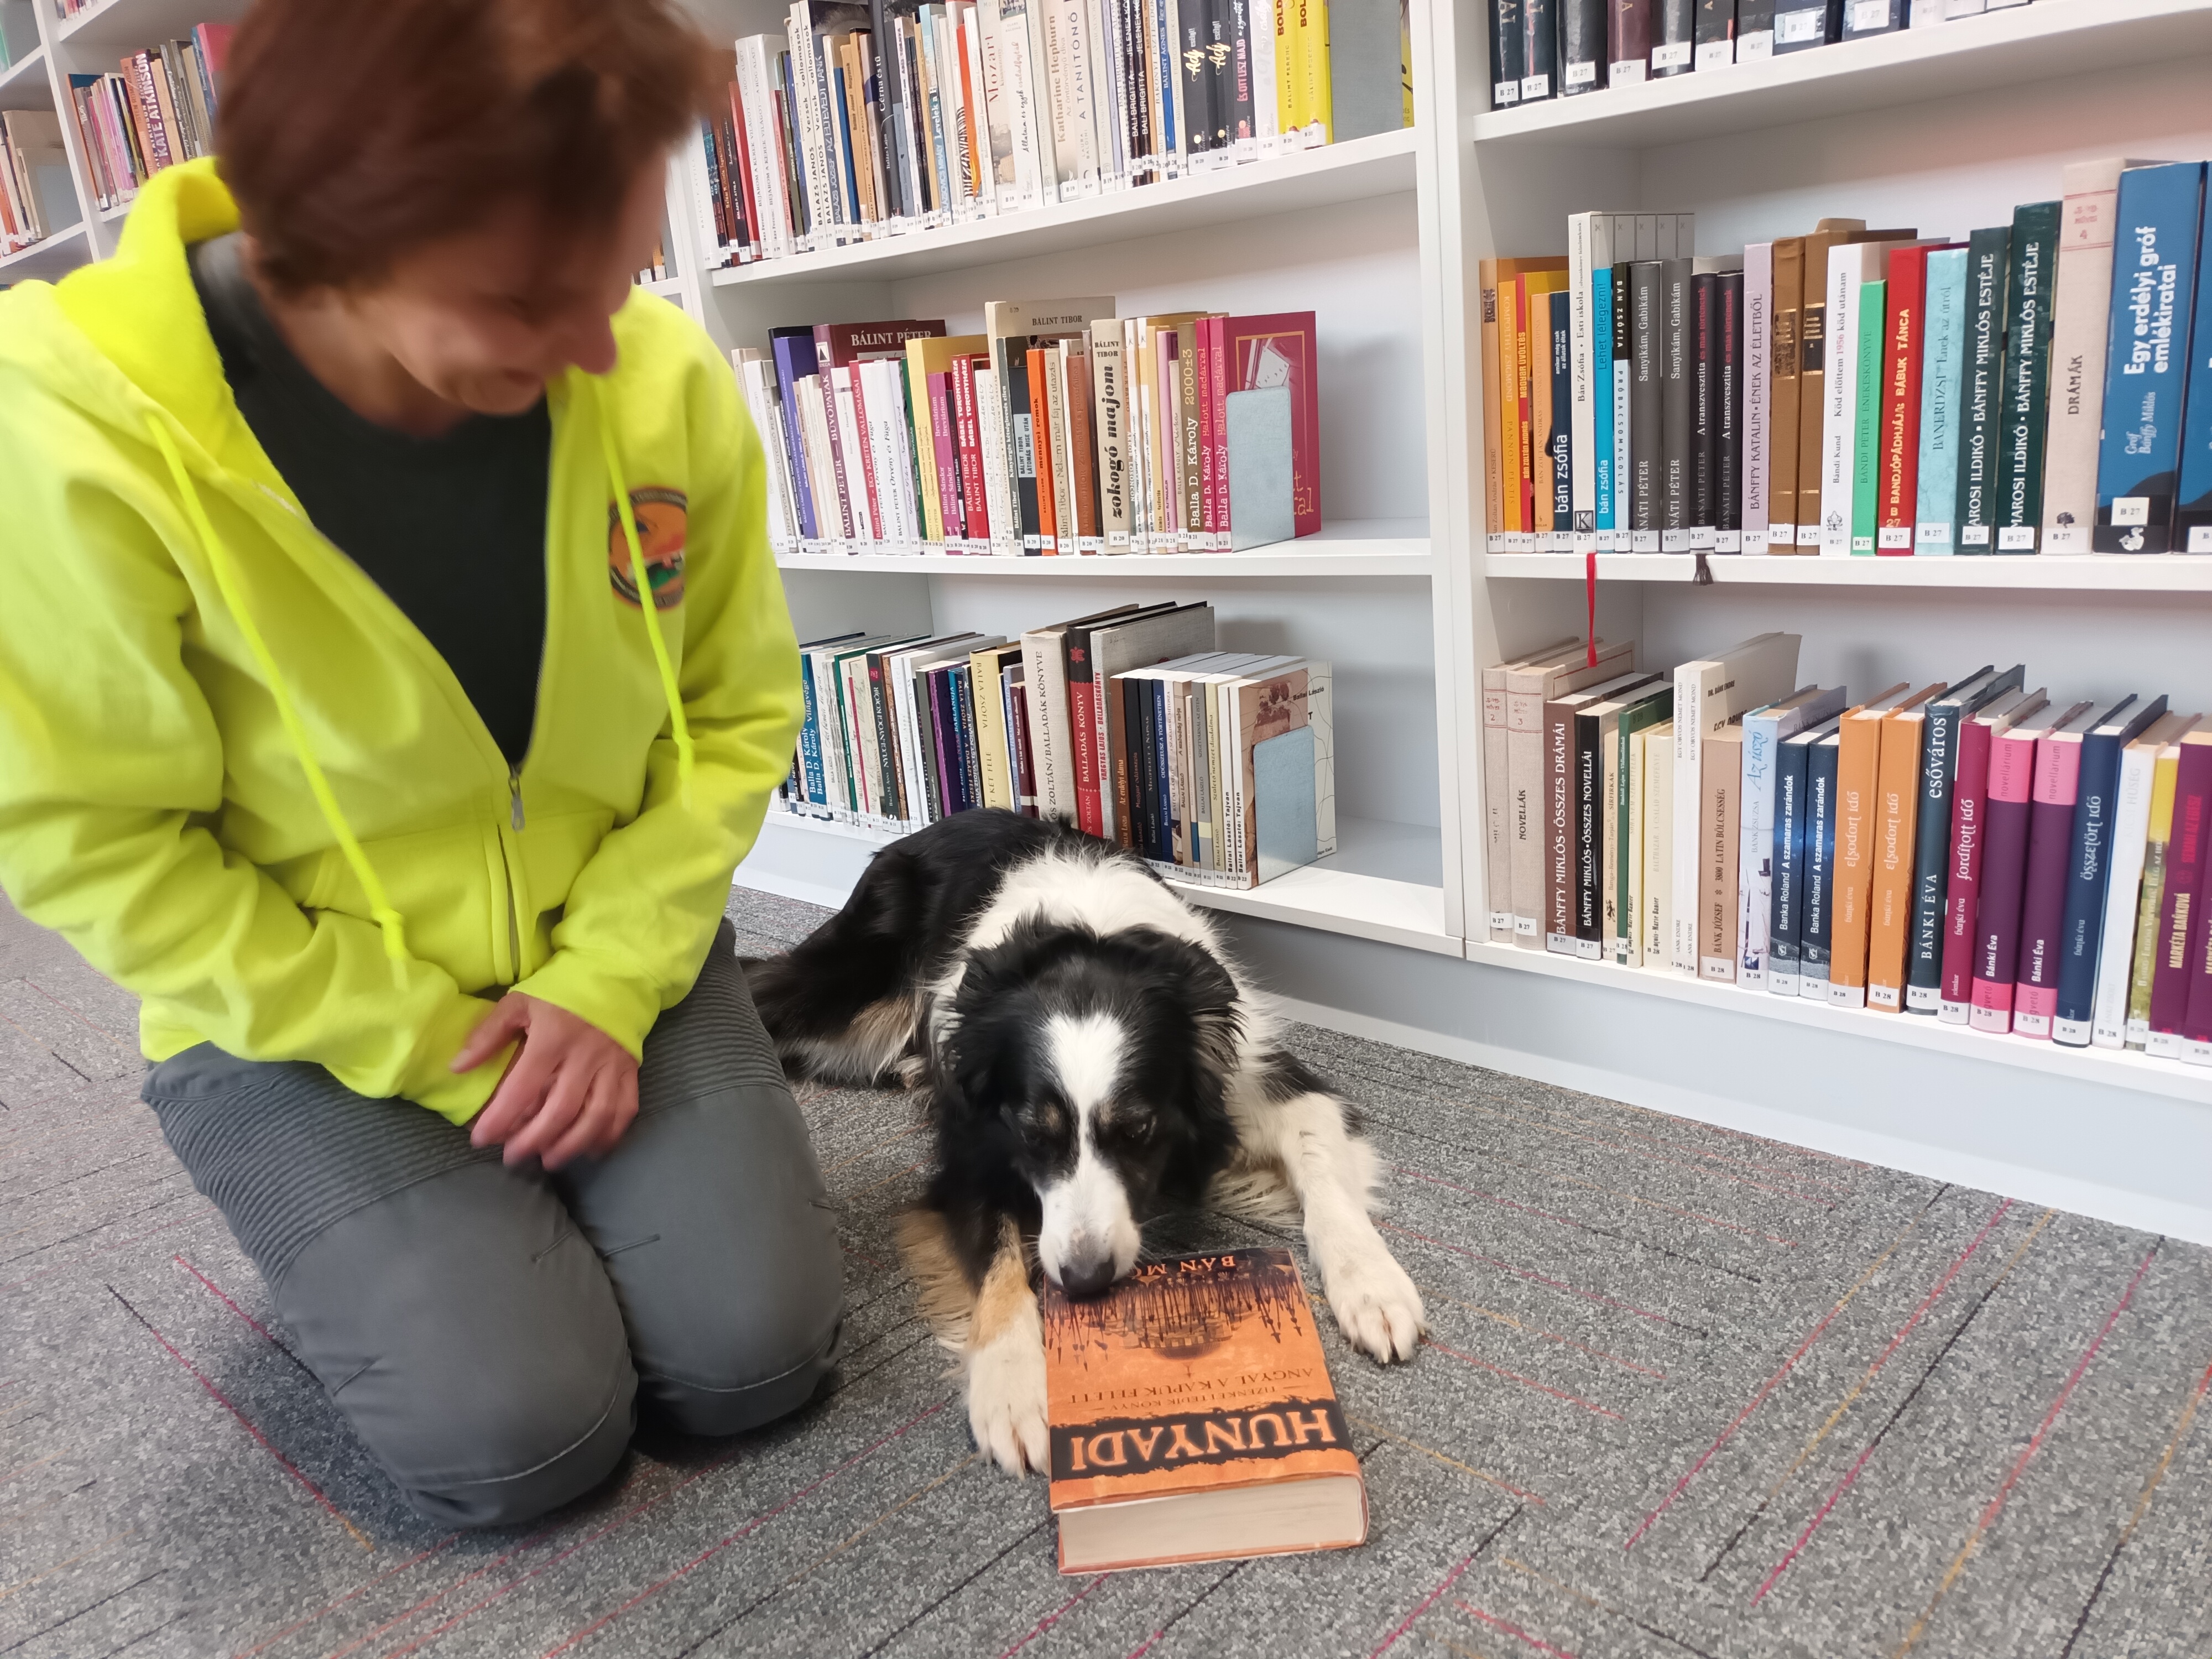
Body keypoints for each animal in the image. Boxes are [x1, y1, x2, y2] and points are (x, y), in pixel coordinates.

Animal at [743, 809, 1424, 1475]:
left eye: (1138, 1131)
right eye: (1032, 1134)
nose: (1086, 1278)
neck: (1087, 952)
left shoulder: (1263, 1076)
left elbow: (1318, 1158)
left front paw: (1371, 1284)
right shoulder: (972, 1140)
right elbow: (996, 1255)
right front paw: (1014, 1388)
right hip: (847, 998)